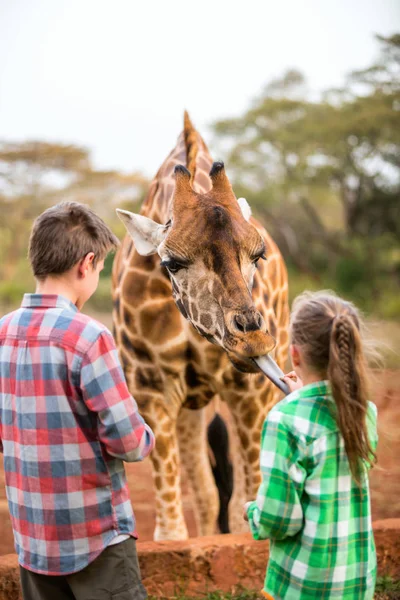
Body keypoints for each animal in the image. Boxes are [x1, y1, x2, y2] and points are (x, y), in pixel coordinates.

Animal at [111, 111, 290, 540]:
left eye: (257, 256)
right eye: (172, 262)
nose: (253, 341)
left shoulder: (248, 392)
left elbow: (245, 514)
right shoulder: (152, 392)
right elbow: (172, 531)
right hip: (191, 402)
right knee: (208, 494)